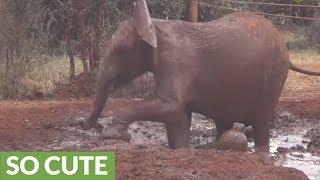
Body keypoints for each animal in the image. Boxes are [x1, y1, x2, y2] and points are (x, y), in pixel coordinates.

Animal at [79, 0, 318, 152]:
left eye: (121, 50)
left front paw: (113, 135)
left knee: (260, 123)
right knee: (224, 121)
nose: (82, 123)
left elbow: (171, 106)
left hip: (273, 80)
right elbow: (178, 114)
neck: (155, 24)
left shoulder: (177, 63)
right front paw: (179, 150)